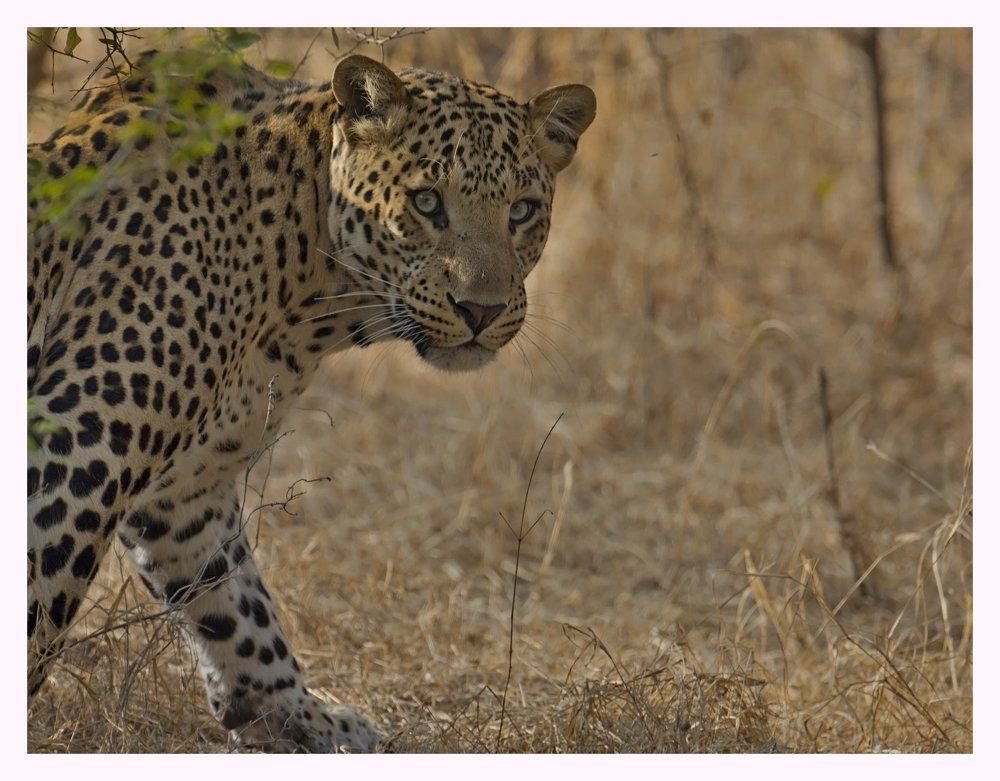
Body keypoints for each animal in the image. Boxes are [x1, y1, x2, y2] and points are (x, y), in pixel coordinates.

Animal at [27, 52, 595, 752]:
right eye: (427, 202)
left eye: (522, 210)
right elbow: (35, 597)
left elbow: (236, 605)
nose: (481, 310)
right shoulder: (76, 448)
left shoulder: (187, 493)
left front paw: (301, 718)